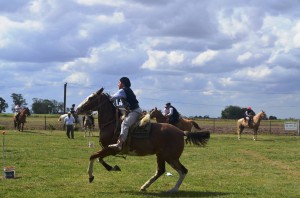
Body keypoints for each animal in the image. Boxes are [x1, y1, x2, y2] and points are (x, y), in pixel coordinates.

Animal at [76, 88, 210, 193]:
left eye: (91, 98)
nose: (77, 109)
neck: (112, 123)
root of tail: (181, 132)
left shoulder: (110, 149)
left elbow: (93, 156)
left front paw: (90, 176)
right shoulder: (107, 150)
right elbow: (99, 159)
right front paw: (114, 167)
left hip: (169, 157)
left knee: (180, 171)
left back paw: (172, 189)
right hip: (164, 156)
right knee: (167, 171)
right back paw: (147, 187)